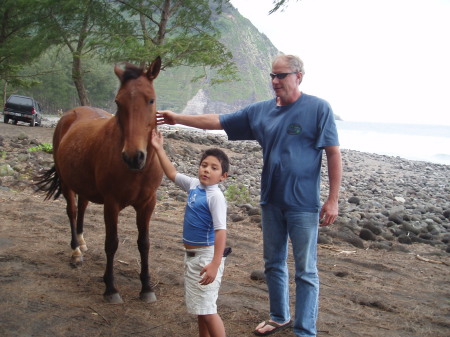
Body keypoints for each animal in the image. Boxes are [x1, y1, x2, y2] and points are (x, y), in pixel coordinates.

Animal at [35, 56, 163, 304]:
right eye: (118, 102)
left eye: (151, 100)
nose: (133, 157)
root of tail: (72, 113)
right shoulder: (111, 203)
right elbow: (111, 243)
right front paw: (110, 288)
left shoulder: (147, 203)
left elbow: (144, 244)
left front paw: (146, 287)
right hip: (66, 182)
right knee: (72, 211)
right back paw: (75, 251)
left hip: (82, 183)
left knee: (83, 207)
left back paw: (82, 242)